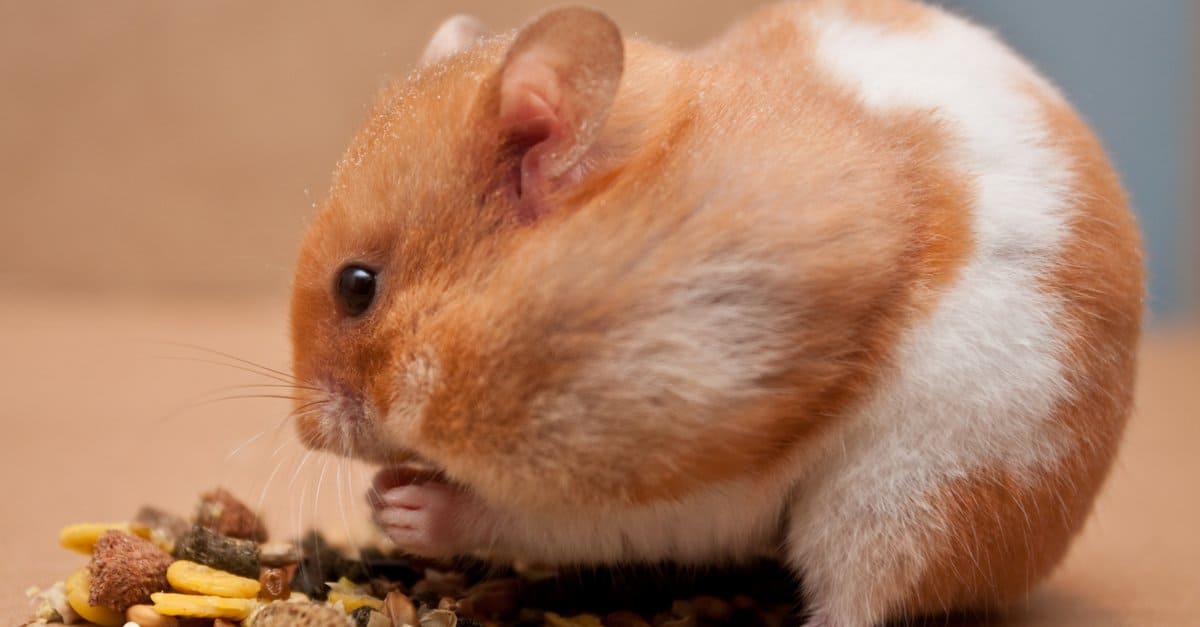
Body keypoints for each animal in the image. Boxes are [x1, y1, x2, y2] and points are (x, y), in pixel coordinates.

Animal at [288, 1, 1143, 625]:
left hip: (906, 505)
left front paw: (401, 504)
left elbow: (552, 518)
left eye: (357, 285)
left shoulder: (697, 462)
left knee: (856, 601)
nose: (305, 432)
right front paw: (382, 493)